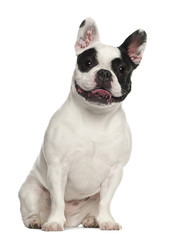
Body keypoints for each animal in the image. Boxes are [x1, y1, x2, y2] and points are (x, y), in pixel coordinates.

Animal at [18, 17, 146, 232]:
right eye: (88, 63)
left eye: (121, 69)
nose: (104, 73)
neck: (95, 117)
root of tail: (71, 221)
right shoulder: (58, 167)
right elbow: (58, 200)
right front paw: (54, 222)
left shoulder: (115, 171)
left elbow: (105, 201)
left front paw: (107, 221)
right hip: (30, 190)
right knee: (31, 211)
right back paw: (37, 220)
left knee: (96, 204)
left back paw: (93, 220)